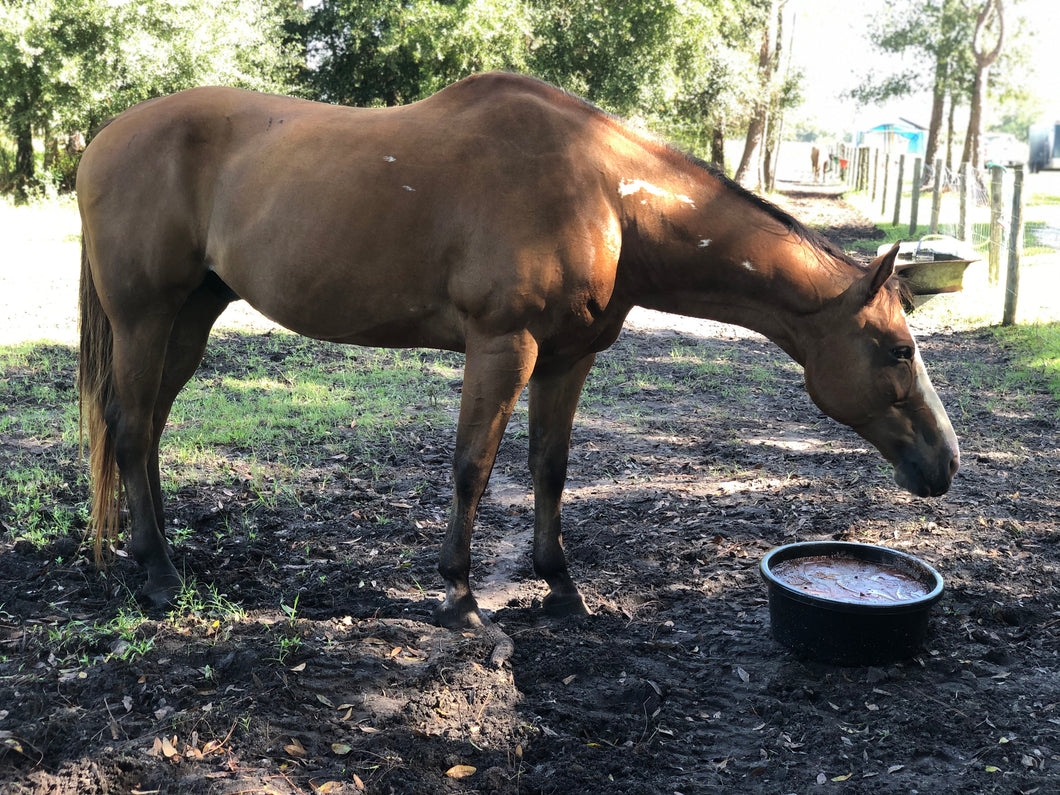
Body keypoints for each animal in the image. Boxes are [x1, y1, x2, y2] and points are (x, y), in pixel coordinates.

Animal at [76, 74, 962, 627]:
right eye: (896, 348)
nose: (946, 463)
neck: (606, 194)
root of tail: (102, 138)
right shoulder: (504, 347)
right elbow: (473, 464)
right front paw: (460, 594)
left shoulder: (570, 357)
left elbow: (549, 465)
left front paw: (561, 584)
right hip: (147, 315)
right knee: (130, 428)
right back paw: (157, 572)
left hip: (189, 317)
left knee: (146, 430)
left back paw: (151, 549)